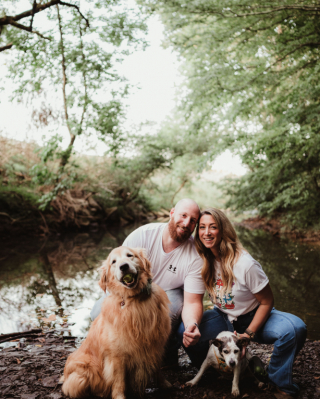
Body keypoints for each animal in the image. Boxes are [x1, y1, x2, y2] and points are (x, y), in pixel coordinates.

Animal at [62, 247, 172, 399]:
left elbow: (157, 369)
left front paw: (164, 384)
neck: (134, 300)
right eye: (114, 262)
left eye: (130, 255)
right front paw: (119, 396)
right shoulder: (117, 355)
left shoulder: (155, 345)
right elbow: (119, 381)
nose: (123, 266)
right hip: (81, 375)